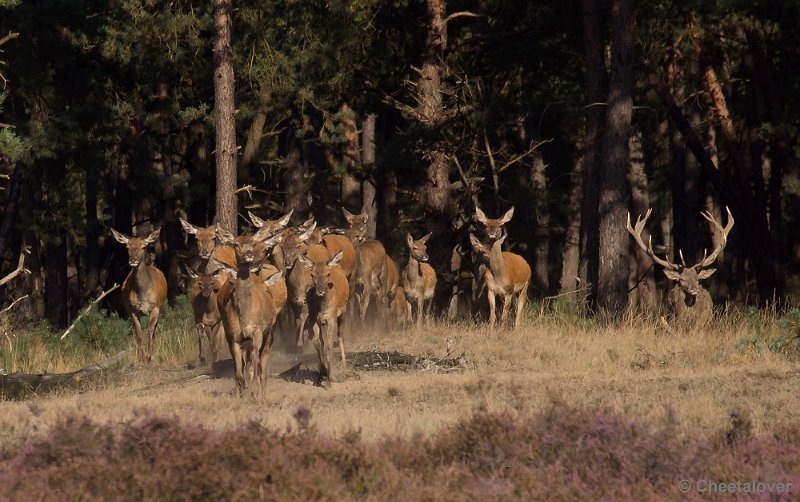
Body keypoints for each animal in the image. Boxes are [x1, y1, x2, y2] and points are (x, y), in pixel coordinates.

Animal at [110, 229, 170, 362]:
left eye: (143, 246)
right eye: (128, 247)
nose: (133, 260)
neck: (142, 293)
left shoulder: (155, 307)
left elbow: (150, 331)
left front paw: (150, 356)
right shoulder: (133, 310)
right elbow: (138, 334)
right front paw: (141, 357)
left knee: (154, 330)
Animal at [296, 250, 348, 384]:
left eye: (328, 274)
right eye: (312, 274)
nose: (320, 290)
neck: (322, 308)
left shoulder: (331, 318)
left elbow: (330, 345)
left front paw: (332, 377)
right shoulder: (314, 318)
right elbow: (318, 343)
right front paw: (322, 373)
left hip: (343, 312)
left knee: (340, 337)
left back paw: (344, 365)